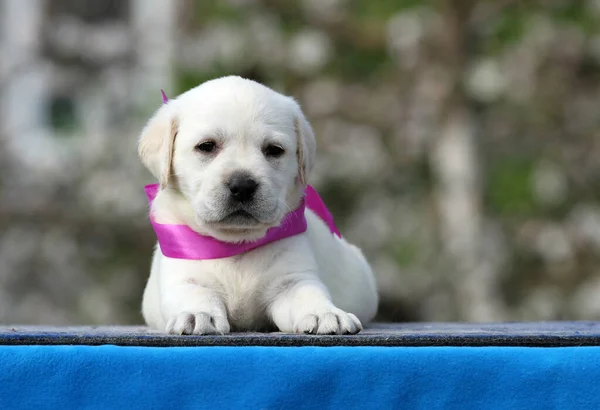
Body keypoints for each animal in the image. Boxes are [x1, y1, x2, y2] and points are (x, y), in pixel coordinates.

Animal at [138, 76, 378, 334]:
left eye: (274, 150)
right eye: (206, 146)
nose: (242, 185)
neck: (235, 246)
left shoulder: (292, 280)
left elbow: (308, 294)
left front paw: (324, 313)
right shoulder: (184, 277)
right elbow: (195, 295)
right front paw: (197, 314)